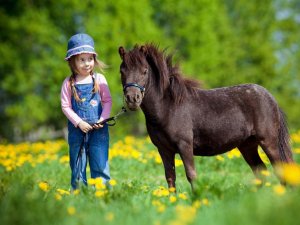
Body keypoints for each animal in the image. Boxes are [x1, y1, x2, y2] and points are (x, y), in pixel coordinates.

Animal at [118, 43, 294, 190]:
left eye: (145, 71)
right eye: (122, 71)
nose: (132, 99)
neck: (168, 107)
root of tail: (270, 97)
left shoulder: (185, 146)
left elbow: (191, 175)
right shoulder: (164, 150)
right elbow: (170, 177)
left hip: (268, 142)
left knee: (280, 169)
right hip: (247, 145)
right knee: (260, 171)